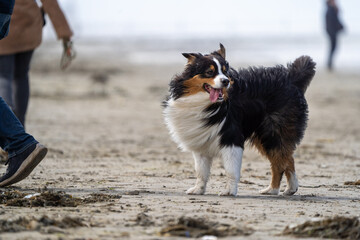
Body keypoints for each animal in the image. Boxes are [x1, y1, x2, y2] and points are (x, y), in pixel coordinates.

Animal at [163, 44, 316, 196]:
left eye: (225, 72)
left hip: (273, 133)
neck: (205, 103)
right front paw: (198, 189)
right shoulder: (201, 143)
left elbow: (231, 170)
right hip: (265, 135)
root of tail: (291, 78)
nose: (225, 81)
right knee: (284, 161)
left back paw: (279, 188)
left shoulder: (232, 138)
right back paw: (279, 189)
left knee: (282, 161)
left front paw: (229, 191)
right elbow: (201, 172)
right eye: (209, 72)